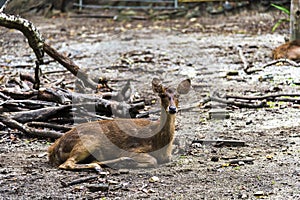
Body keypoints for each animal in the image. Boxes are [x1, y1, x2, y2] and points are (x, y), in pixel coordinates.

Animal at [48, 77, 191, 171]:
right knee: (67, 164)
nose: (172, 109)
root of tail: (54, 148)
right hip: (88, 141)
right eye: (162, 95)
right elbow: (153, 161)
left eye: (178, 96)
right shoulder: (132, 149)